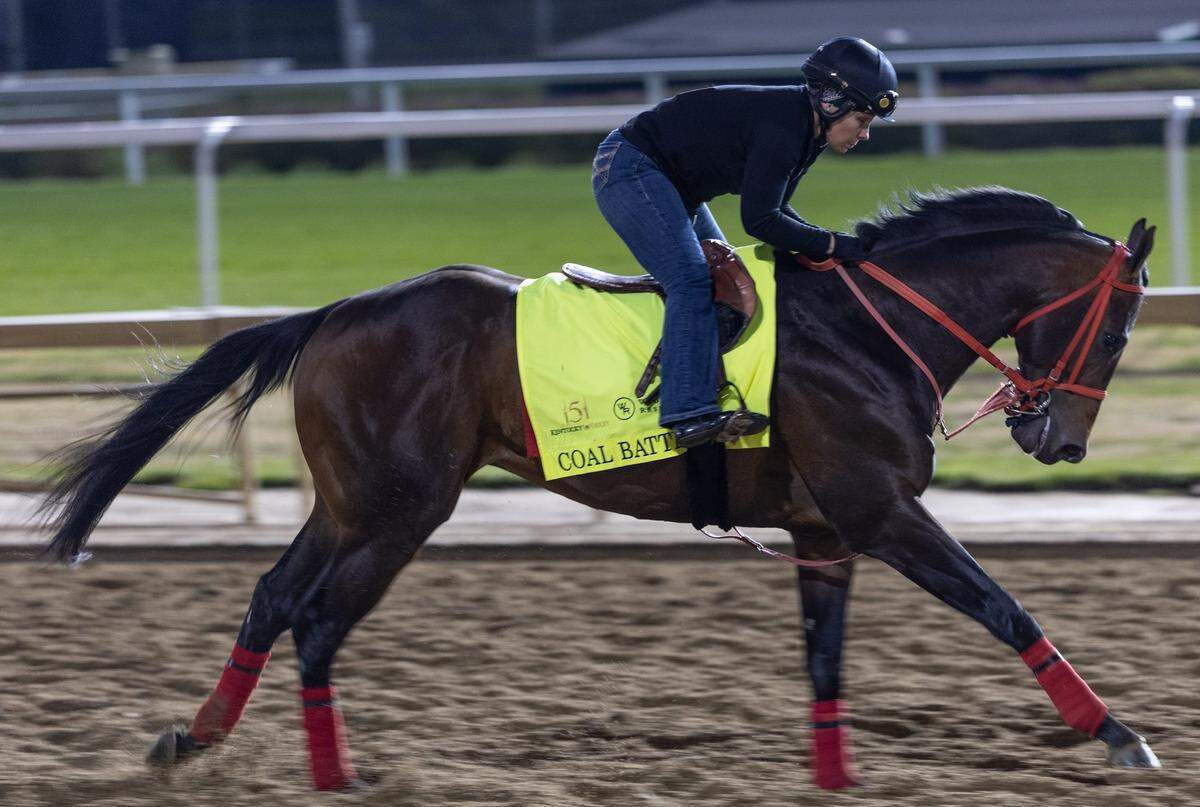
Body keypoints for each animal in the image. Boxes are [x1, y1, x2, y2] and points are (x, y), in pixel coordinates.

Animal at [38, 187, 1160, 791]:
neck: (866, 331)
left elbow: (825, 662)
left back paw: (196, 736)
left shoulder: (822, 530)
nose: (1059, 439)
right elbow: (1005, 609)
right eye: (1115, 329)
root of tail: (332, 313)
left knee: (273, 599)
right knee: (317, 620)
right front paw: (1119, 734)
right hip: (403, 509)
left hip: (353, 501)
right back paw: (332, 775)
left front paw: (837, 779)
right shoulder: (881, 511)